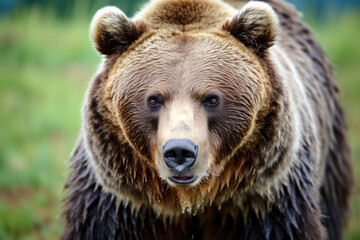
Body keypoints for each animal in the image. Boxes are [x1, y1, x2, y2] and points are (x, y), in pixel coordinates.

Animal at [61, 0, 352, 239]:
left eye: (212, 99)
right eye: (153, 99)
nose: (180, 151)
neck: (192, 199)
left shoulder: (266, 199)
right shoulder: (118, 203)